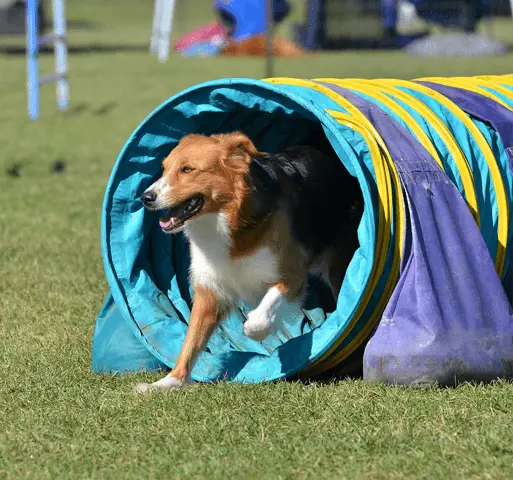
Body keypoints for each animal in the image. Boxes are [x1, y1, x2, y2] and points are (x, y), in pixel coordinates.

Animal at [136, 132, 360, 394]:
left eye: (187, 169)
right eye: (164, 169)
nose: (145, 198)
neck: (226, 221)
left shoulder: (293, 274)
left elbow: (265, 310)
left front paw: (254, 327)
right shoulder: (209, 290)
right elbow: (191, 341)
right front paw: (168, 382)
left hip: (338, 269)